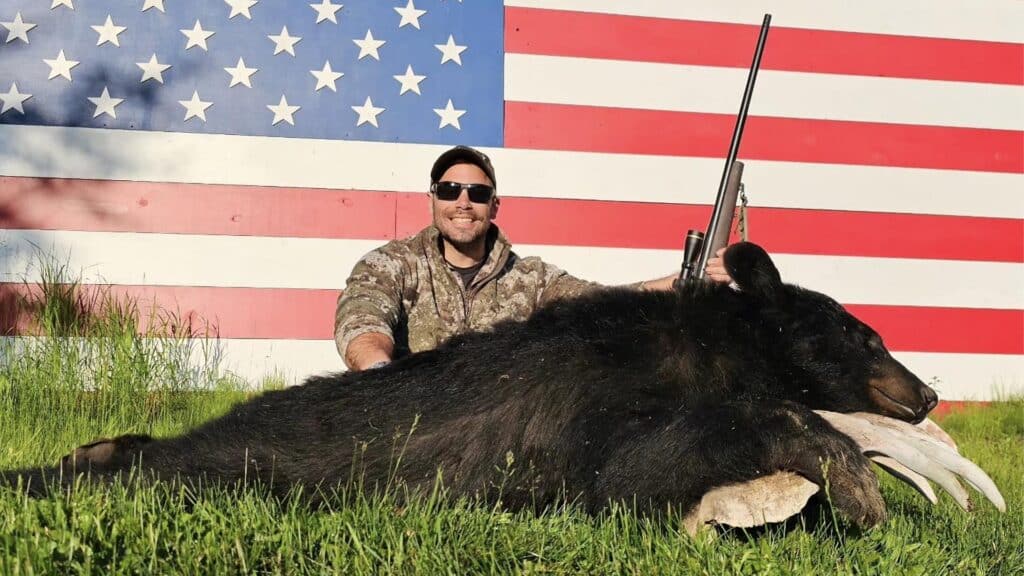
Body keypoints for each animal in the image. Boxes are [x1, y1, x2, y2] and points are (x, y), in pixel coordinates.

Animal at [0, 241, 937, 524]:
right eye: (866, 333)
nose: (927, 392)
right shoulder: (596, 428)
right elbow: (641, 467)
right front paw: (862, 490)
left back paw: (92, 446)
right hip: (236, 474)